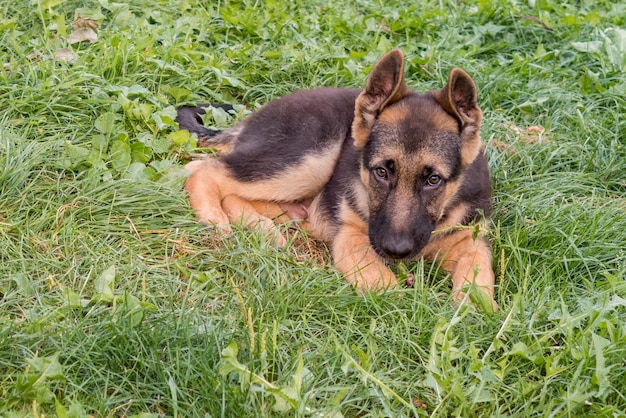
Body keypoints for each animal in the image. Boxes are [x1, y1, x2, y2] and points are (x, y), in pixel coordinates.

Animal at [178, 49, 494, 310]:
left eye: (433, 180)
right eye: (381, 172)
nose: (396, 250)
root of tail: (250, 120)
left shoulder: (471, 240)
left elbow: (478, 272)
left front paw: (473, 308)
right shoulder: (352, 237)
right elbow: (385, 287)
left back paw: (265, 230)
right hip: (308, 159)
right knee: (204, 169)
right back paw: (214, 218)